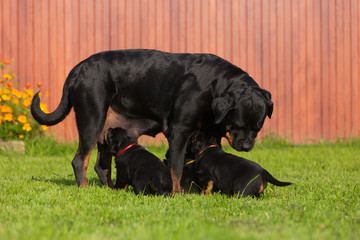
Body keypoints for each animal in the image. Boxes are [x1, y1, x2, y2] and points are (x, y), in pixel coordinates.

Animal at [31, 49, 272, 193]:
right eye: (238, 125)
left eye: (258, 128)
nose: (247, 145)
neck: (213, 88)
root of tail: (79, 67)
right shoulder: (179, 131)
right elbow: (176, 167)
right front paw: (177, 193)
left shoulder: (211, 134)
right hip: (92, 119)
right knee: (80, 160)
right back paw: (84, 188)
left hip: (107, 131)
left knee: (102, 165)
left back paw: (112, 189)